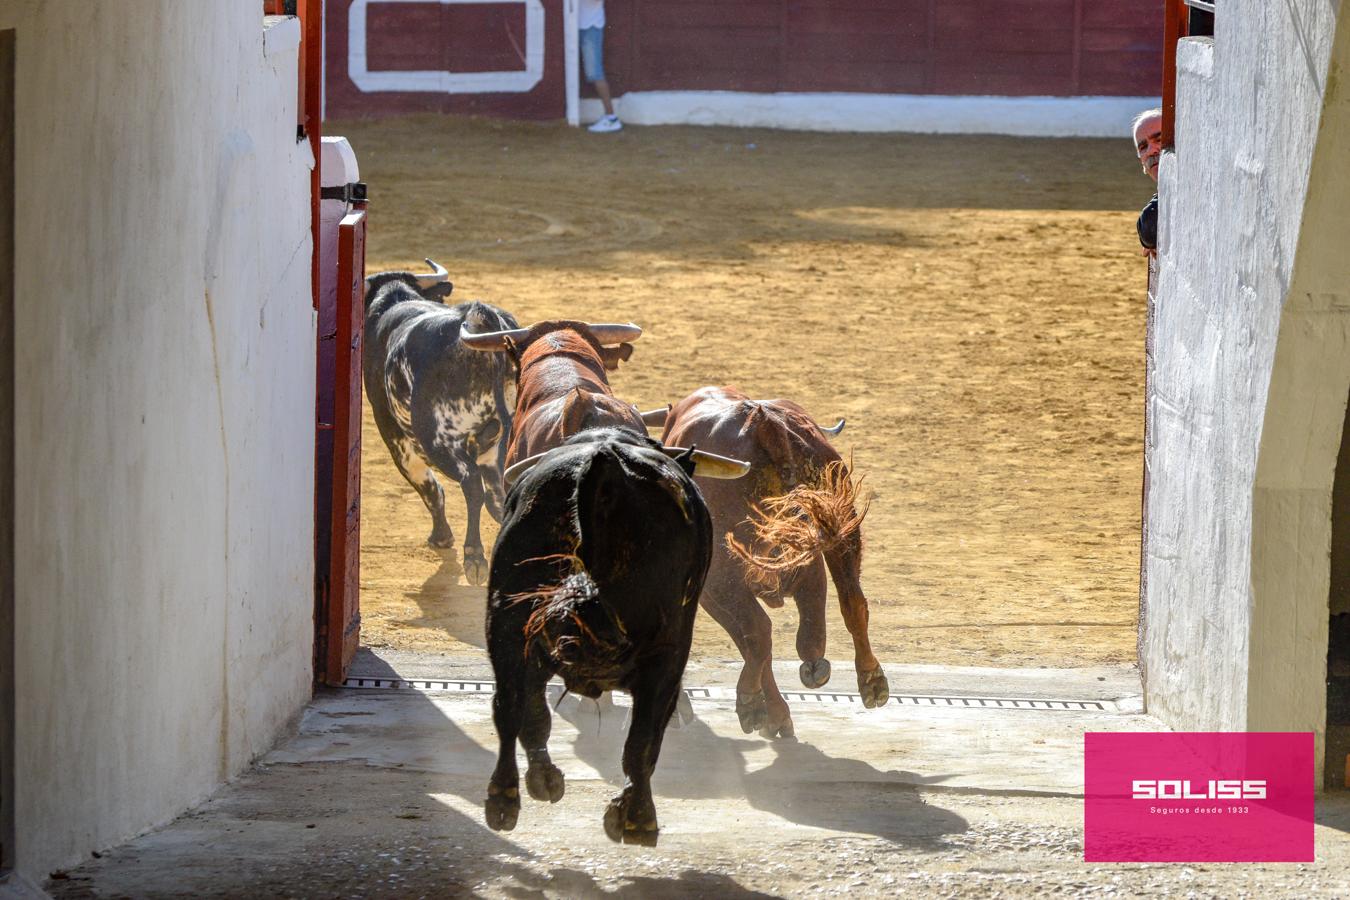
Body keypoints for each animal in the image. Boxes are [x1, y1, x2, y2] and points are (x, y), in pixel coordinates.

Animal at [364, 260, 515, 585]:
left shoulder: (394, 433)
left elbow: (427, 485)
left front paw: (443, 537)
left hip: (438, 440)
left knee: (471, 484)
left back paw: (474, 557)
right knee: (498, 487)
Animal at [653, 385, 885, 739]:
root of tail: (764, 423)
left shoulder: (713, 592)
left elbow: (752, 641)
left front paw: (765, 711)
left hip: (720, 577)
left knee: (758, 632)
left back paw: (750, 702)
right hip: (841, 523)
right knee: (852, 602)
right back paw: (868, 679)